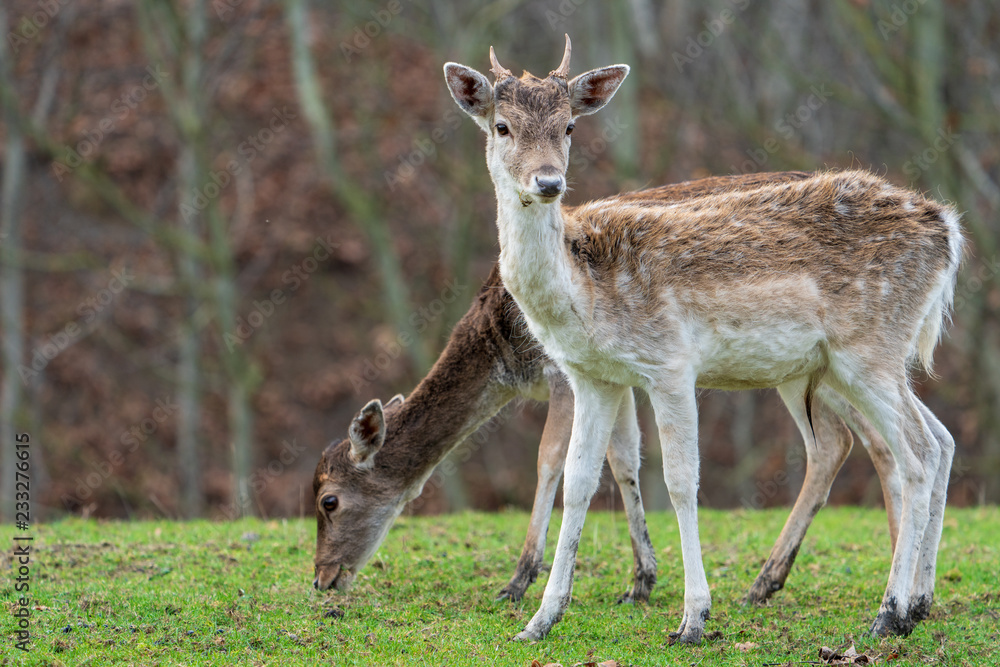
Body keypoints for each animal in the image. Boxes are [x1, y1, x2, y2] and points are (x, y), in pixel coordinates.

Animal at [314, 177, 908, 612]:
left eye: (329, 501)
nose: (321, 578)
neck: (504, 347)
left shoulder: (564, 372)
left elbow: (550, 460)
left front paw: (520, 579)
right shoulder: (613, 376)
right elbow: (622, 458)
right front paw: (641, 578)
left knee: (860, 442)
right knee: (859, 442)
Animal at [444, 35, 960, 640]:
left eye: (569, 125)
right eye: (501, 126)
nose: (548, 183)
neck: (584, 292)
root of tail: (949, 231)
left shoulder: (669, 363)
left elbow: (680, 480)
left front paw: (693, 618)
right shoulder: (592, 377)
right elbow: (579, 481)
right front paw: (540, 620)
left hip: (867, 350)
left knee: (917, 453)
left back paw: (888, 614)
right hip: (871, 359)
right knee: (940, 439)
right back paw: (918, 604)